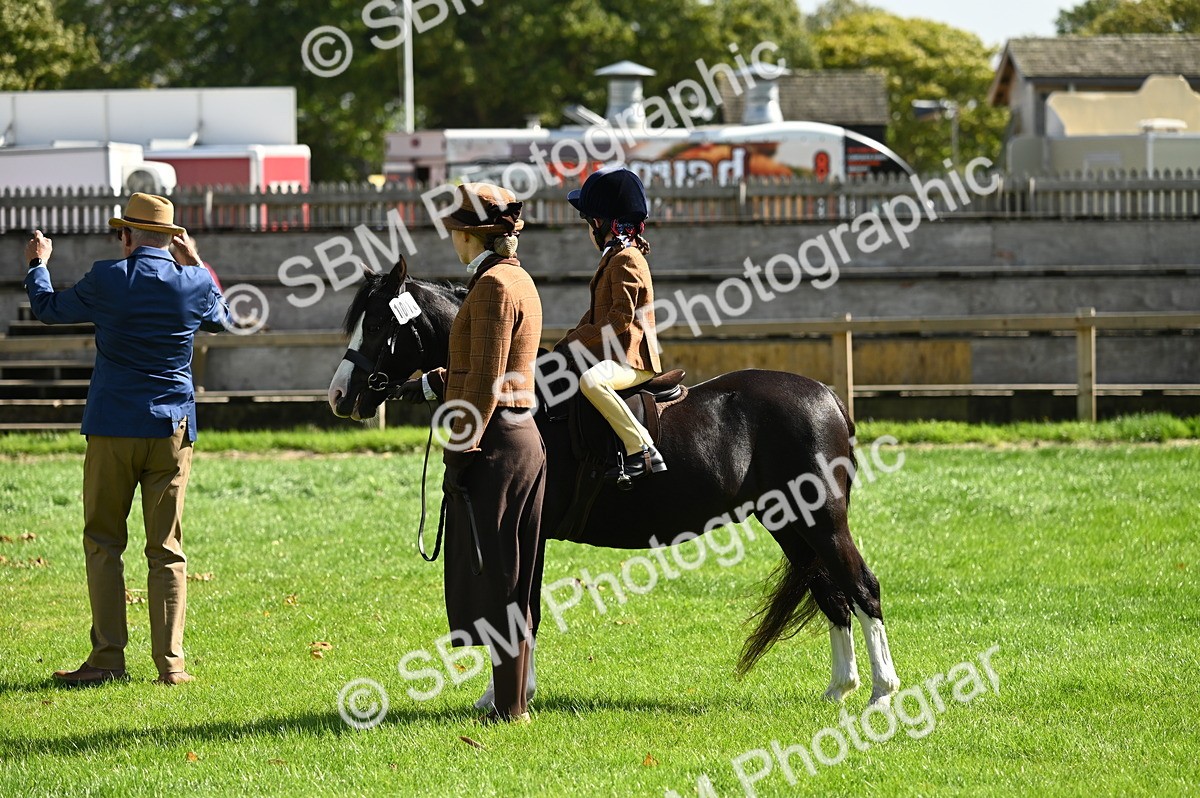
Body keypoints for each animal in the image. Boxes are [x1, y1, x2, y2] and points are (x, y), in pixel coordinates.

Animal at [327, 259, 901, 706]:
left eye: (377, 325)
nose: (339, 395)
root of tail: (826, 395)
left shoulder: (526, 528)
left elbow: (521, 610)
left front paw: (507, 696)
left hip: (822, 518)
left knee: (861, 587)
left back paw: (882, 691)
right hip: (788, 521)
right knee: (830, 592)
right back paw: (840, 688)